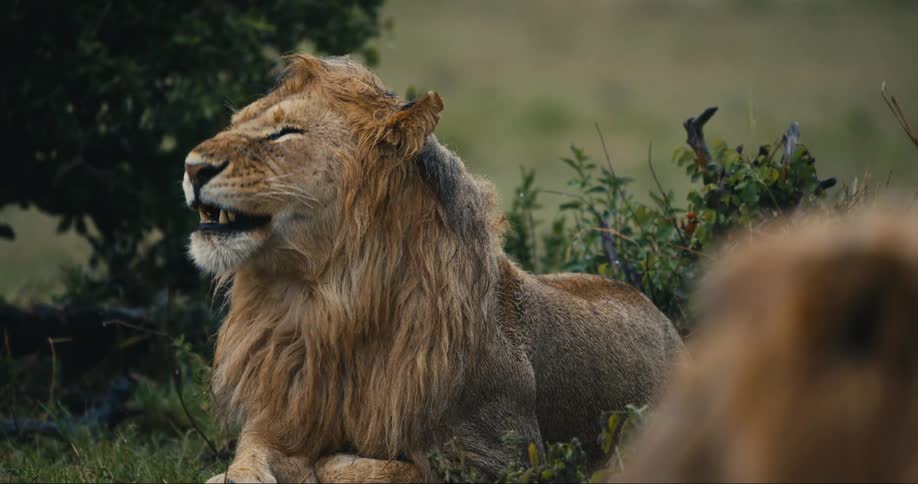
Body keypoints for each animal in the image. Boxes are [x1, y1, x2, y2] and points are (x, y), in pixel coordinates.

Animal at [182, 54, 683, 483]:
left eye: (285, 133)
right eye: (235, 124)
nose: (191, 167)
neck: (328, 302)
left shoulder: (511, 459)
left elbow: (377, 468)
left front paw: (316, 465)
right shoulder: (277, 416)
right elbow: (248, 456)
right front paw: (239, 473)